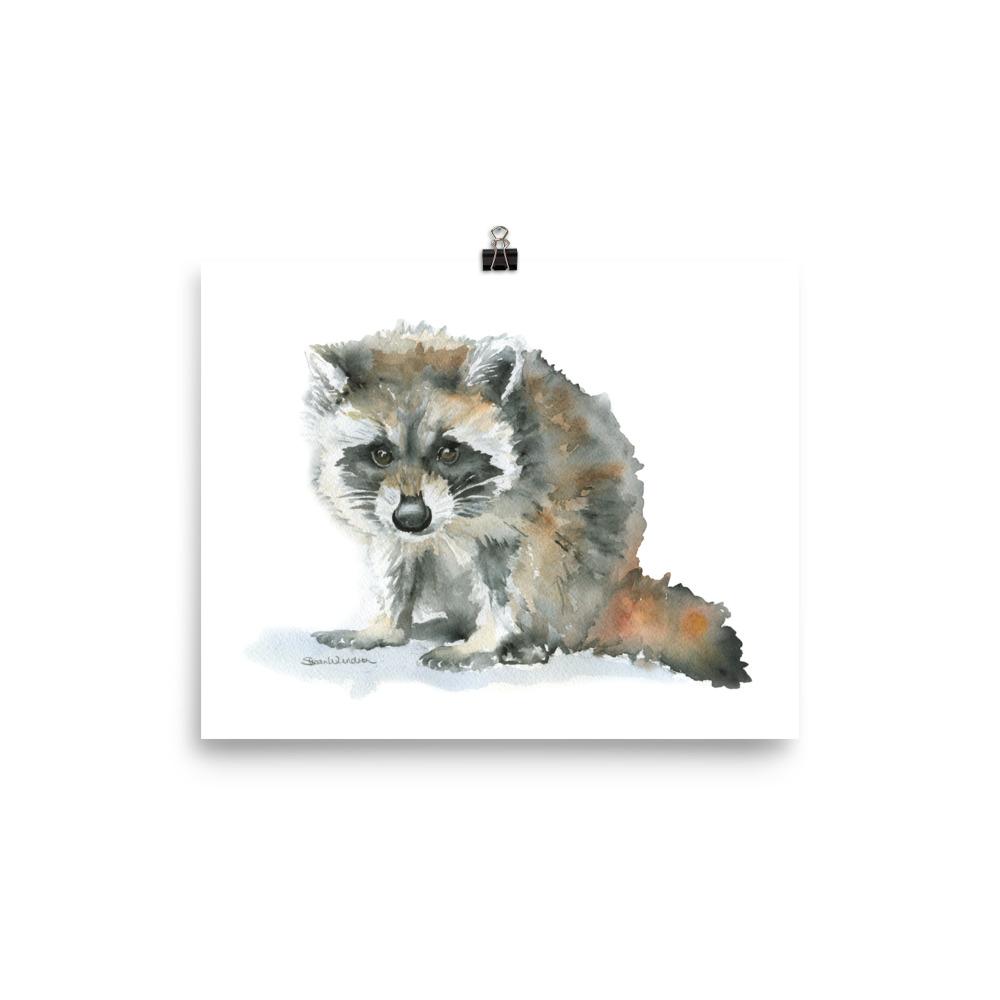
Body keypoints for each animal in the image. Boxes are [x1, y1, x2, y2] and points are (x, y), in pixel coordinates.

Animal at [306, 323, 749, 687]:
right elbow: (396, 561)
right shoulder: (389, 517)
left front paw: (487, 637)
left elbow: (509, 577)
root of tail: (613, 591)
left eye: (449, 452)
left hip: (584, 567)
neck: (449, 521)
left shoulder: (525, 508)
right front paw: (385, 622)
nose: (412, 518)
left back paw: (531, 642)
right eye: (380, 454)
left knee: (552, 569)